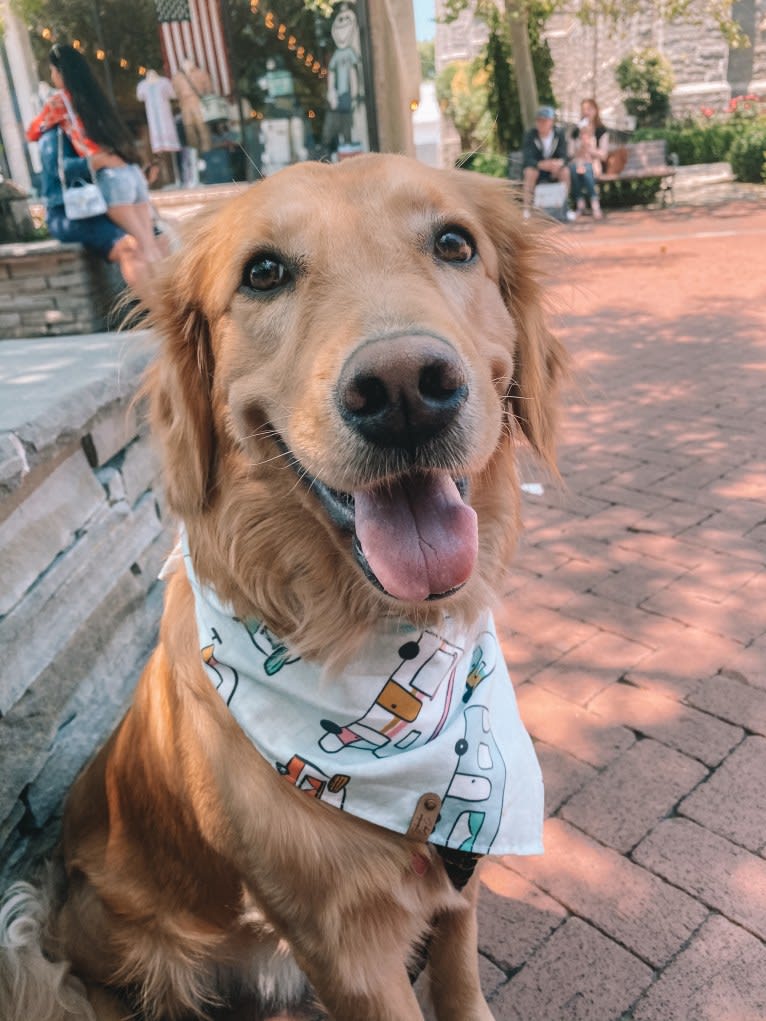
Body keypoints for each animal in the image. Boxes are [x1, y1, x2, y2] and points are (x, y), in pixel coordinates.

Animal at [0, 153, 563, 1021]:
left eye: (454, 243)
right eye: (263, 273)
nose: (405, 388)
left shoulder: (456, 882)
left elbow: (461, 982)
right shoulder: (346, 950)